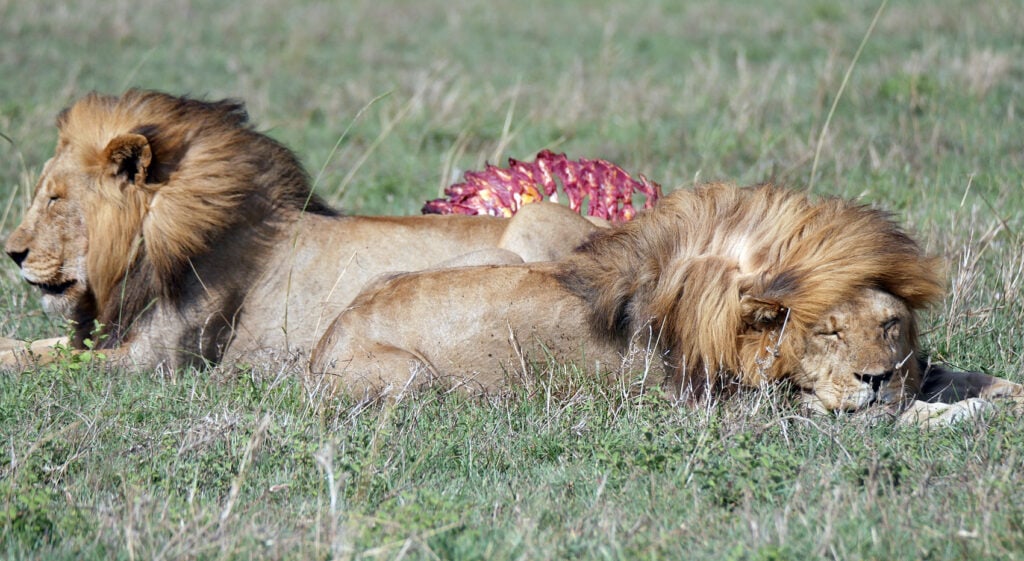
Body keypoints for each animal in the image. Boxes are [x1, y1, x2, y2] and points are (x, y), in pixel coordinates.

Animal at [2, 89, 600, 370]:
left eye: (55, 198)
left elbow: (49, 363)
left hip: (533, 218)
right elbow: (37, 346)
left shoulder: (157, 361)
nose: (11, 253)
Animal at [309, 183, 1024, 419]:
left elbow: (948, 376)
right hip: (411, 378)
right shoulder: (749, 414)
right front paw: (960, 416)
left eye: (891, 325)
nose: (877, 377)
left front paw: (999, 390)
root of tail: (328, 334)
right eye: (829, 333)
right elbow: (909, 417)